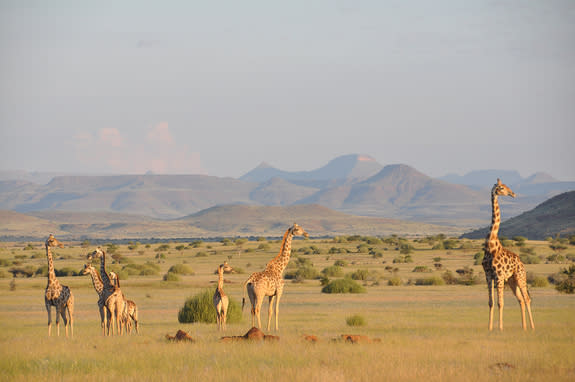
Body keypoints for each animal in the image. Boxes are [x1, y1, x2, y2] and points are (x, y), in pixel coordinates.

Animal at [482, 179, 536, 332]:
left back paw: (532, 327)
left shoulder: (499, 275)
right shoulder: (488, 275)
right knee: (520, 299)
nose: (513, 194)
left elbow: (501, 302)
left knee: (527, 298)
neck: (491, 246)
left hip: (520, 277)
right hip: (512, 281)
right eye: (501, 188)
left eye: (506, 187)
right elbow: (491, 302)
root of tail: (521, 263)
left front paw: (500, 328)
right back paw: (524, 327)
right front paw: (489, 328)